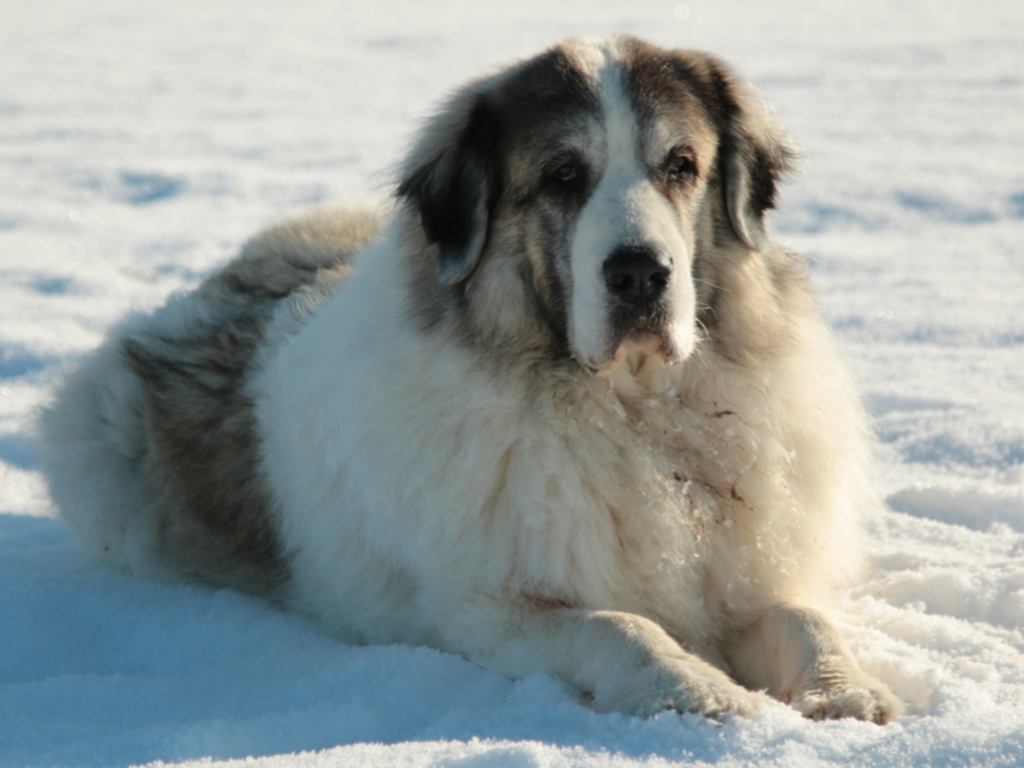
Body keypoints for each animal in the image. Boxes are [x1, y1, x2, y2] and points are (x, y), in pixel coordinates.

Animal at [39, 34, 901, 720]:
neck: (632, 415)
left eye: (681, 166)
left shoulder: (748, 571)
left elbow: (803, 618)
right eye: (562, 176)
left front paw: (845, 689)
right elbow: (618, 626)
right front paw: (694, 689)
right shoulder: (486, 607)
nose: (640, 274)